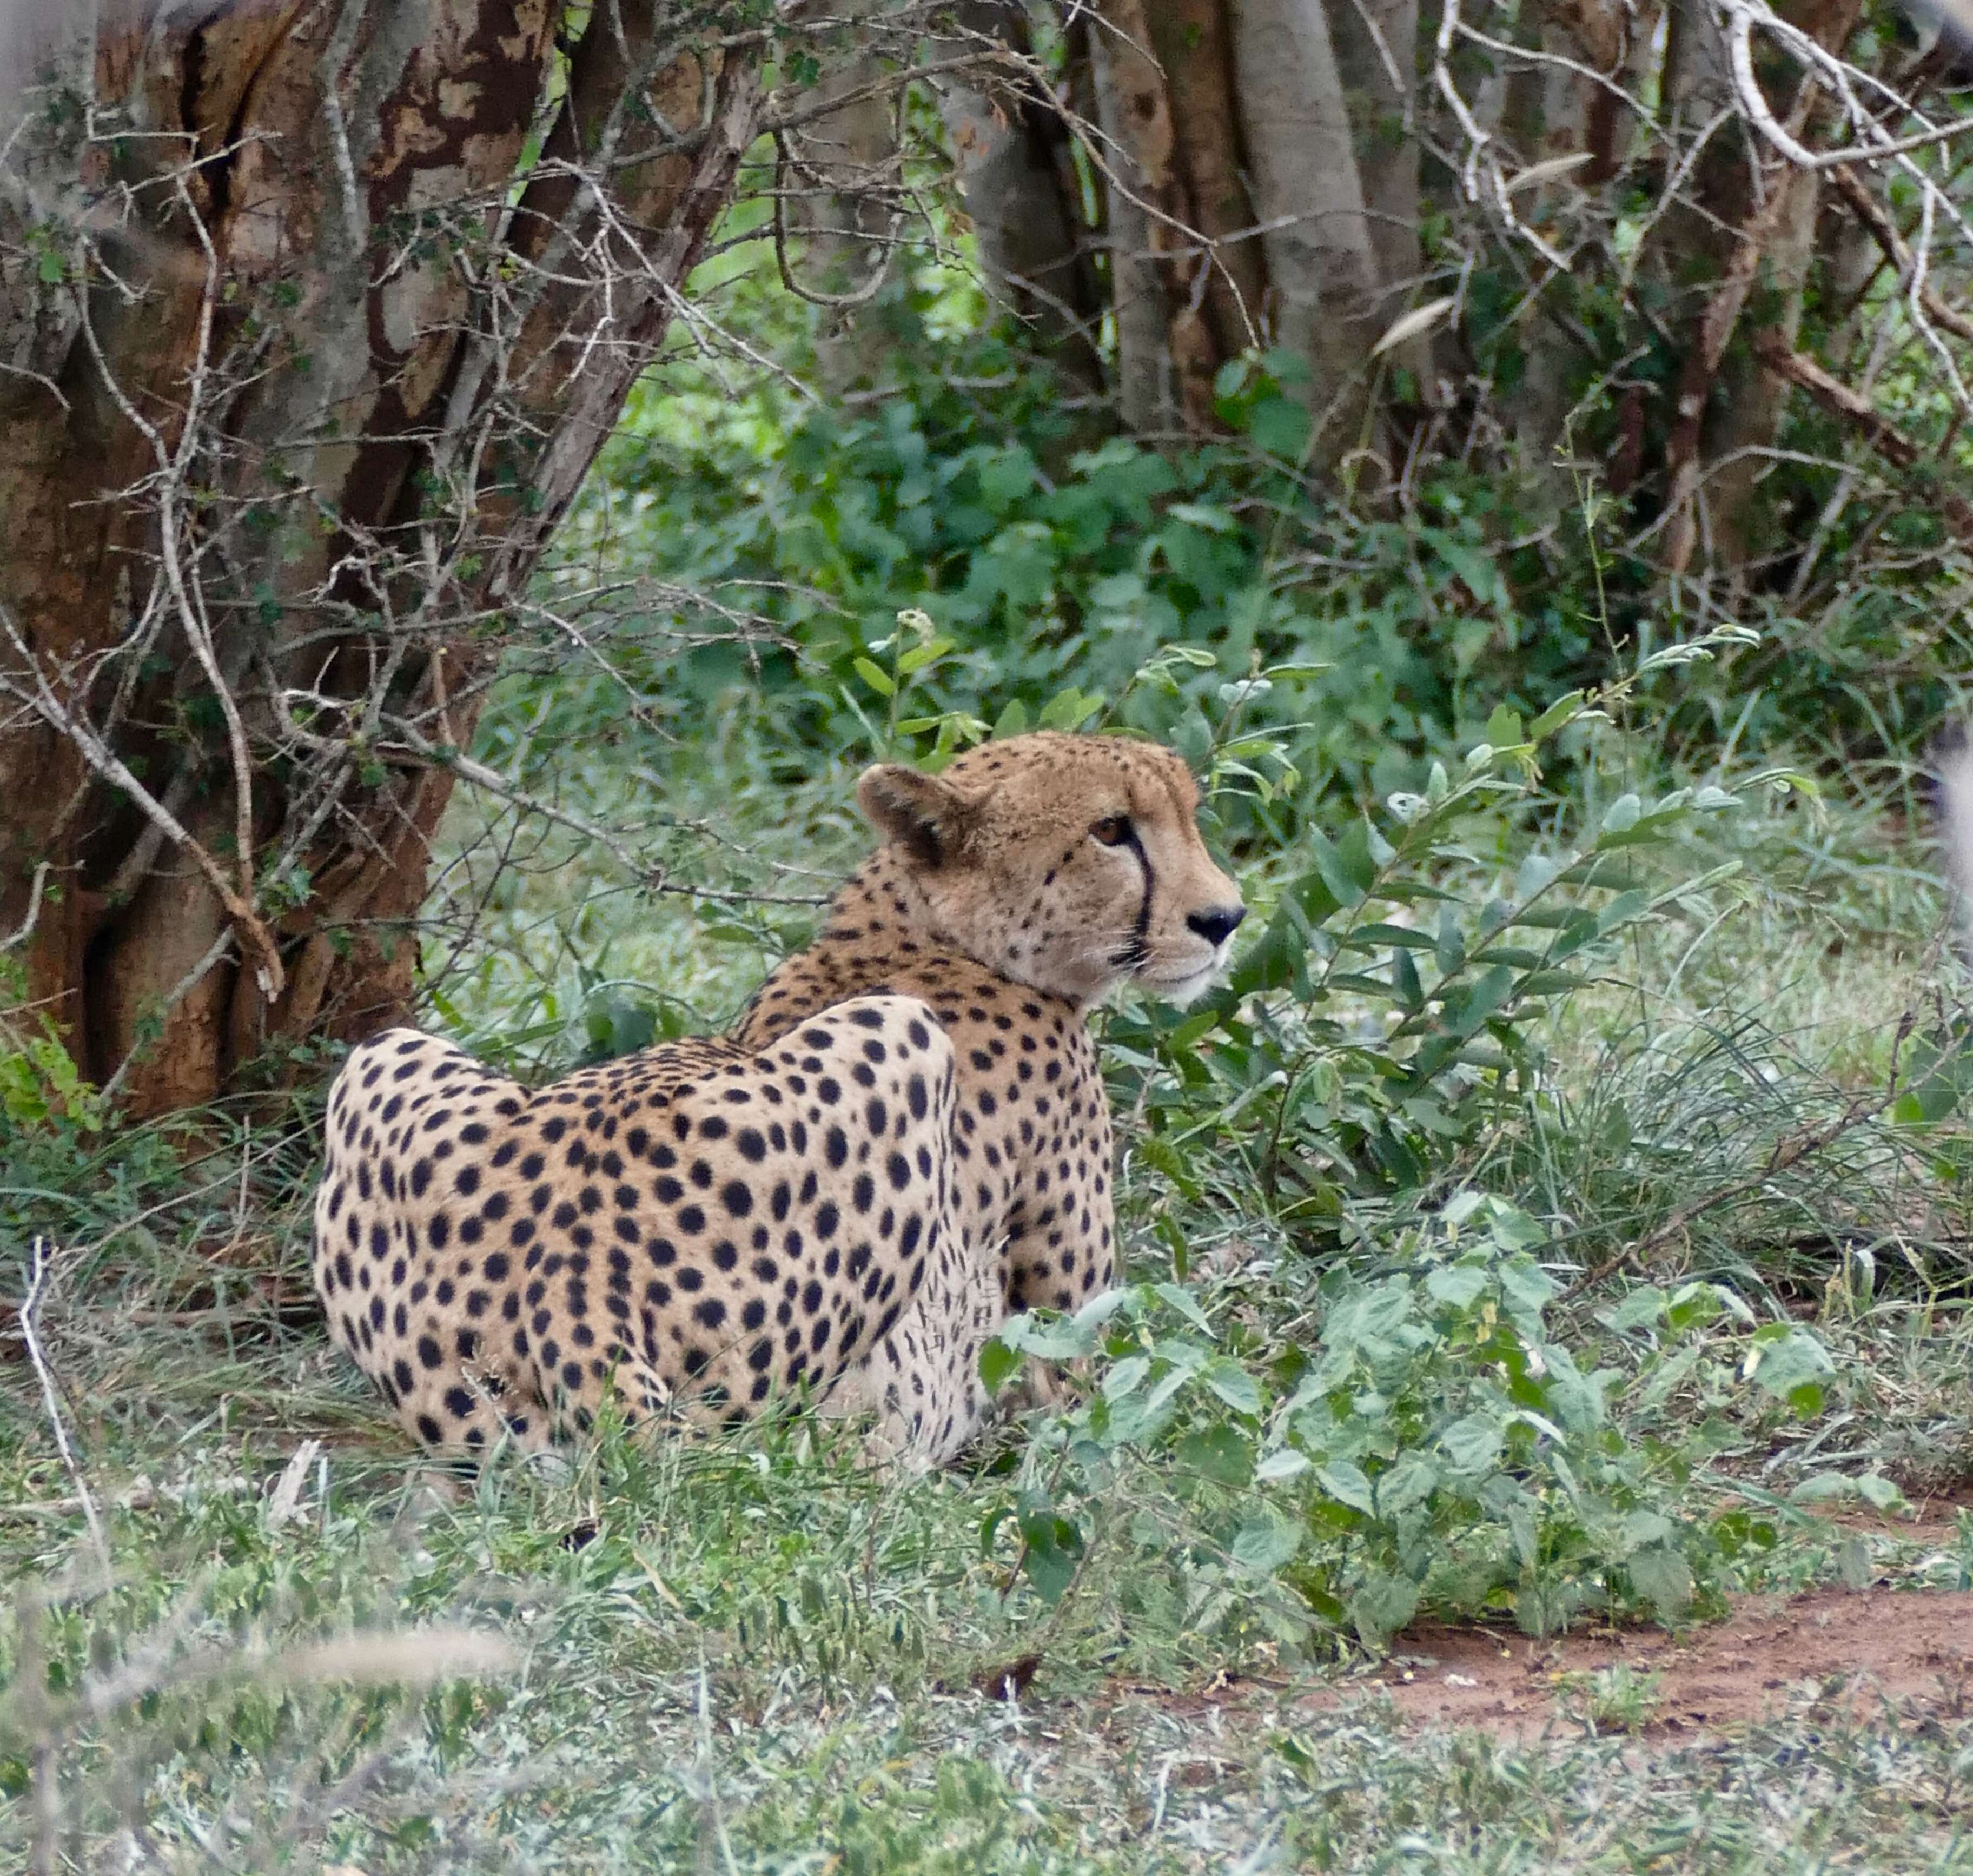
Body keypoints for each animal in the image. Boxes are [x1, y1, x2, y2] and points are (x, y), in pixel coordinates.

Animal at [314, 730, 1239, 1467]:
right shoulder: (1060, 1339)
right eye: (1112, 830)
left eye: (1191, 813)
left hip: (384, 1053)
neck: (932, 932)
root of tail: (569, 1304)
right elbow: (1109, 1398)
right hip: (899, 1037)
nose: (1225, 919)